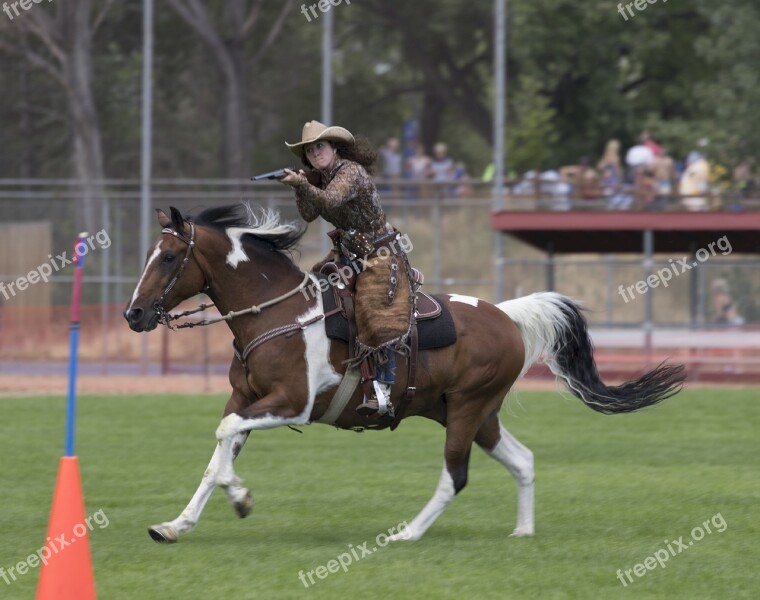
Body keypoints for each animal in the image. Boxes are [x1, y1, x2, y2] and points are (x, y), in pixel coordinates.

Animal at [123, 205, 684, 544]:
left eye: (168, 256)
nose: (133, 314)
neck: (279, 312)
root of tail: (507, 316)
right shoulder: (244, 401)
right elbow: (217, 455)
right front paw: (176, 524)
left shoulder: (290, 402)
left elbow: (222, 442)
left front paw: (240, 499)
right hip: (472, 414)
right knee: (522, 461)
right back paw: (521, 533)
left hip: (466, 411)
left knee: (455, 476)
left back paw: (407, 534)